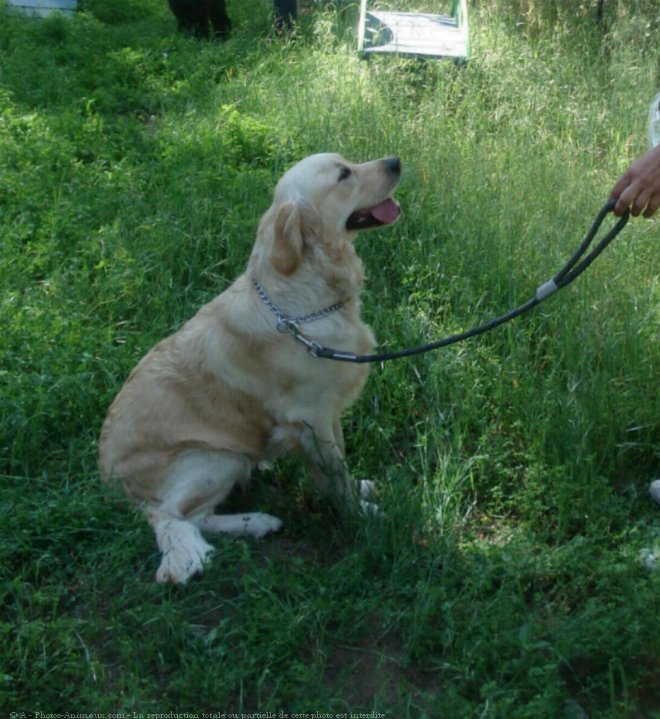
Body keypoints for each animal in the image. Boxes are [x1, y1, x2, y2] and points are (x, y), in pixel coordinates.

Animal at [100, 153, 400, 584]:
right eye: (344, 174)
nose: (396, 161)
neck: (302, 302)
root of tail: (113, 485)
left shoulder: (327, 413)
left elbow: (339, 464)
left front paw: (358, 489)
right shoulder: (309, 415)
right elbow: (335, 474)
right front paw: (361, 515)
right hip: (217, 458)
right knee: (180, 517)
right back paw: (257, 521)